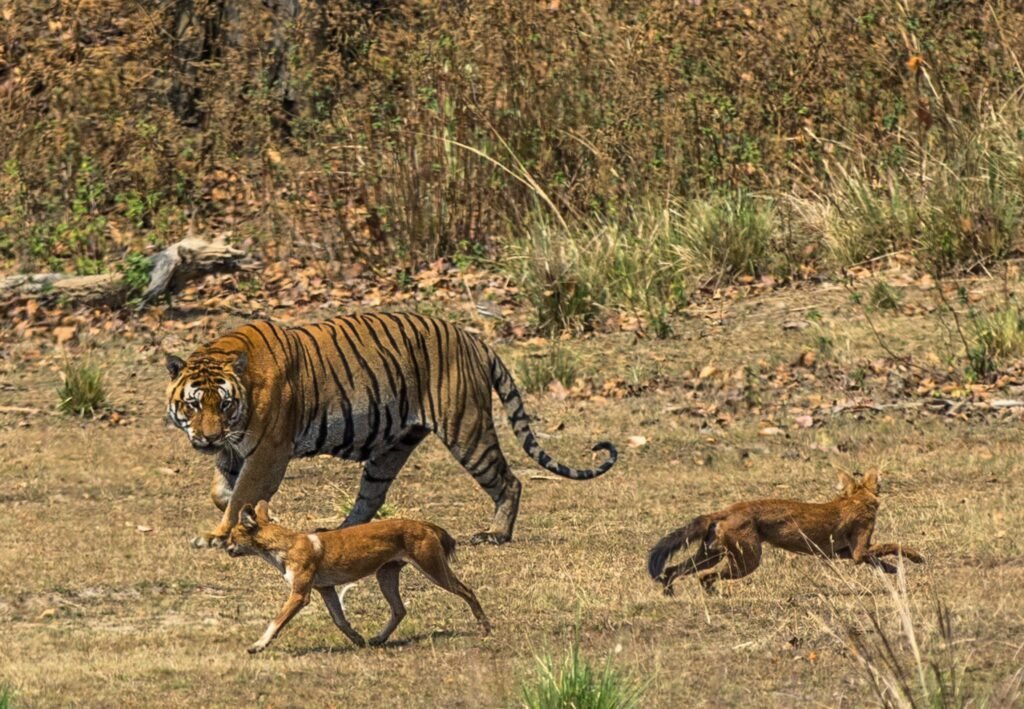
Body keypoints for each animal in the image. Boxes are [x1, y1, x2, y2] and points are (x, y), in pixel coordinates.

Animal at [163, 311, 618, 549]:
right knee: (372, 495)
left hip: (467, 429)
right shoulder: (233, 450)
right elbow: (224, 491)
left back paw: (495, 534)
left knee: (509, 481)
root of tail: (472, 338)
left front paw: (220, 534)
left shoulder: (269, 451)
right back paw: (340, 531)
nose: (207, 437)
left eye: (224, 404)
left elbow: (243, 491)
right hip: (392, 448)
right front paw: (236, 517)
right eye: (193, 404)